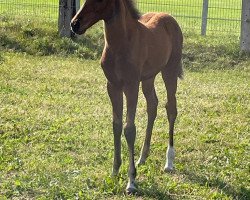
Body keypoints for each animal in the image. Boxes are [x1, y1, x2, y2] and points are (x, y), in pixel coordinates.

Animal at [71, 0, 183, 194]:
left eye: (101, 1)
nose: (75, 24)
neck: (120, 44)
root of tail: (169, 18)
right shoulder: (113, 86)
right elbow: (116, 126)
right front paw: (114, 172)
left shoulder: (131, 86)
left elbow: (129, 129)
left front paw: (131, 181)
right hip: (148, 78)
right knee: (152, 106)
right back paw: (142, 157)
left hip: (170, 71)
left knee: (171, 109)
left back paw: (169, 162)